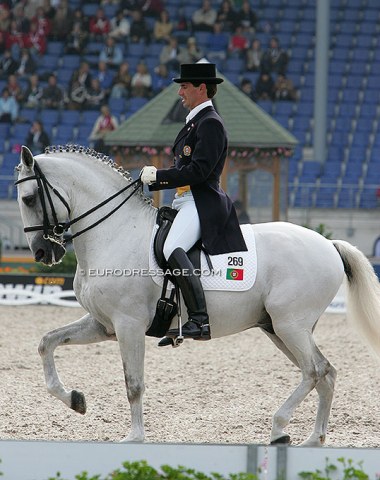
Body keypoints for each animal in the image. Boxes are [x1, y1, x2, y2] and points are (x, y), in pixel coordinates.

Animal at [14, 145, 380, 446]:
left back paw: (279, 428)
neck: (114, 233)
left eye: (29, 198)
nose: (42, 252)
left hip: (290, 325)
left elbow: (134, 383)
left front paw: (134, 438)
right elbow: (47, 342)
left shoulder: (128, 325)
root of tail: (329, 244)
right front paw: (76, 400)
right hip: (279, 329)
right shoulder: (103, 325)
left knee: (314, 371)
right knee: (326, 372)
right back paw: (313, 440)